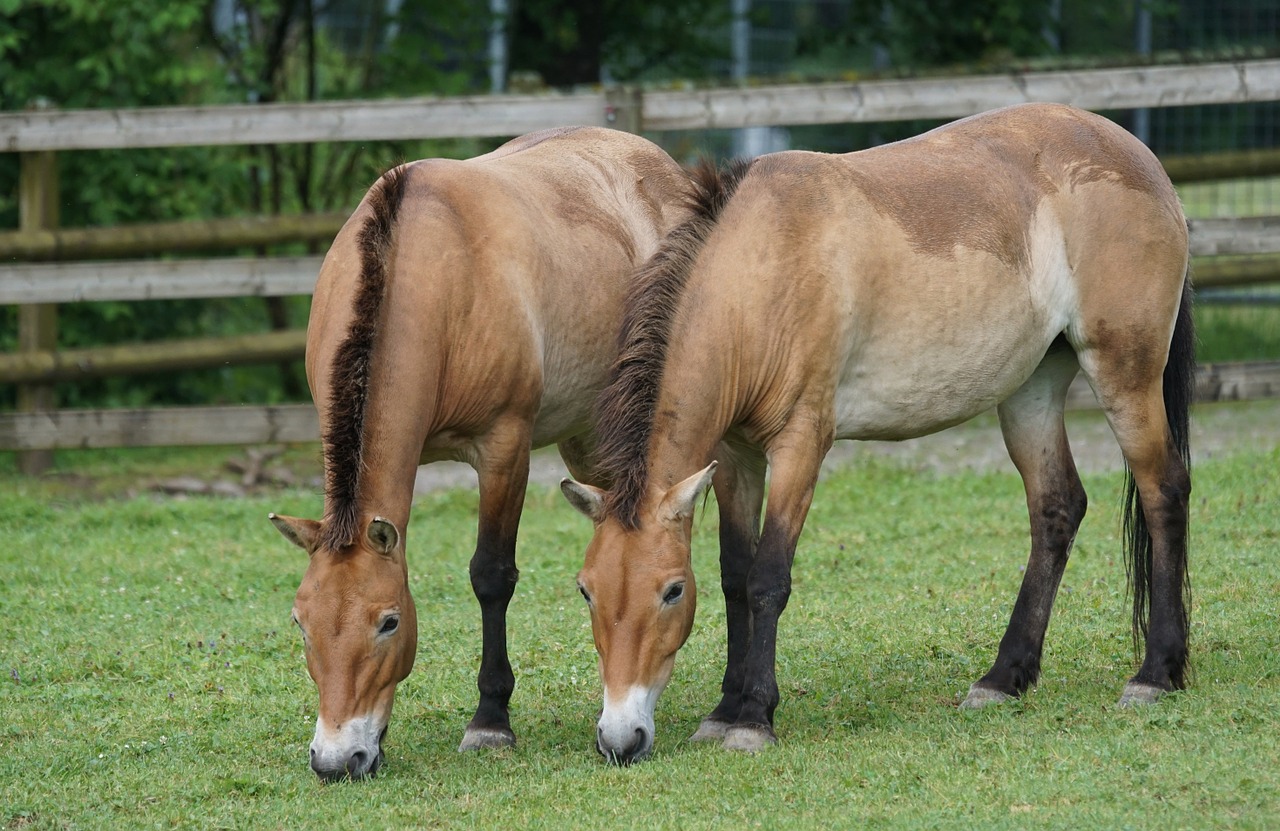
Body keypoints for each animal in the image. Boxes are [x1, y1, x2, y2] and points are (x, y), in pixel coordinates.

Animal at [565, 105, 1192, 763]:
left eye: (671, 592)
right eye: (586, 591)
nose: (620, 738)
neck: (762, 272)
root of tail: (1137, 156)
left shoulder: (800, 445)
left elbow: (767, 578)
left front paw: (753, 717)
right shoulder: (736, 458)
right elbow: (736, 576)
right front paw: (722, 711)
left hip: (1124, 375)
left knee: (1163, 493)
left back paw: (1155, 674)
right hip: (1032, 391)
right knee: (1057, 509)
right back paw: (1003, 679)